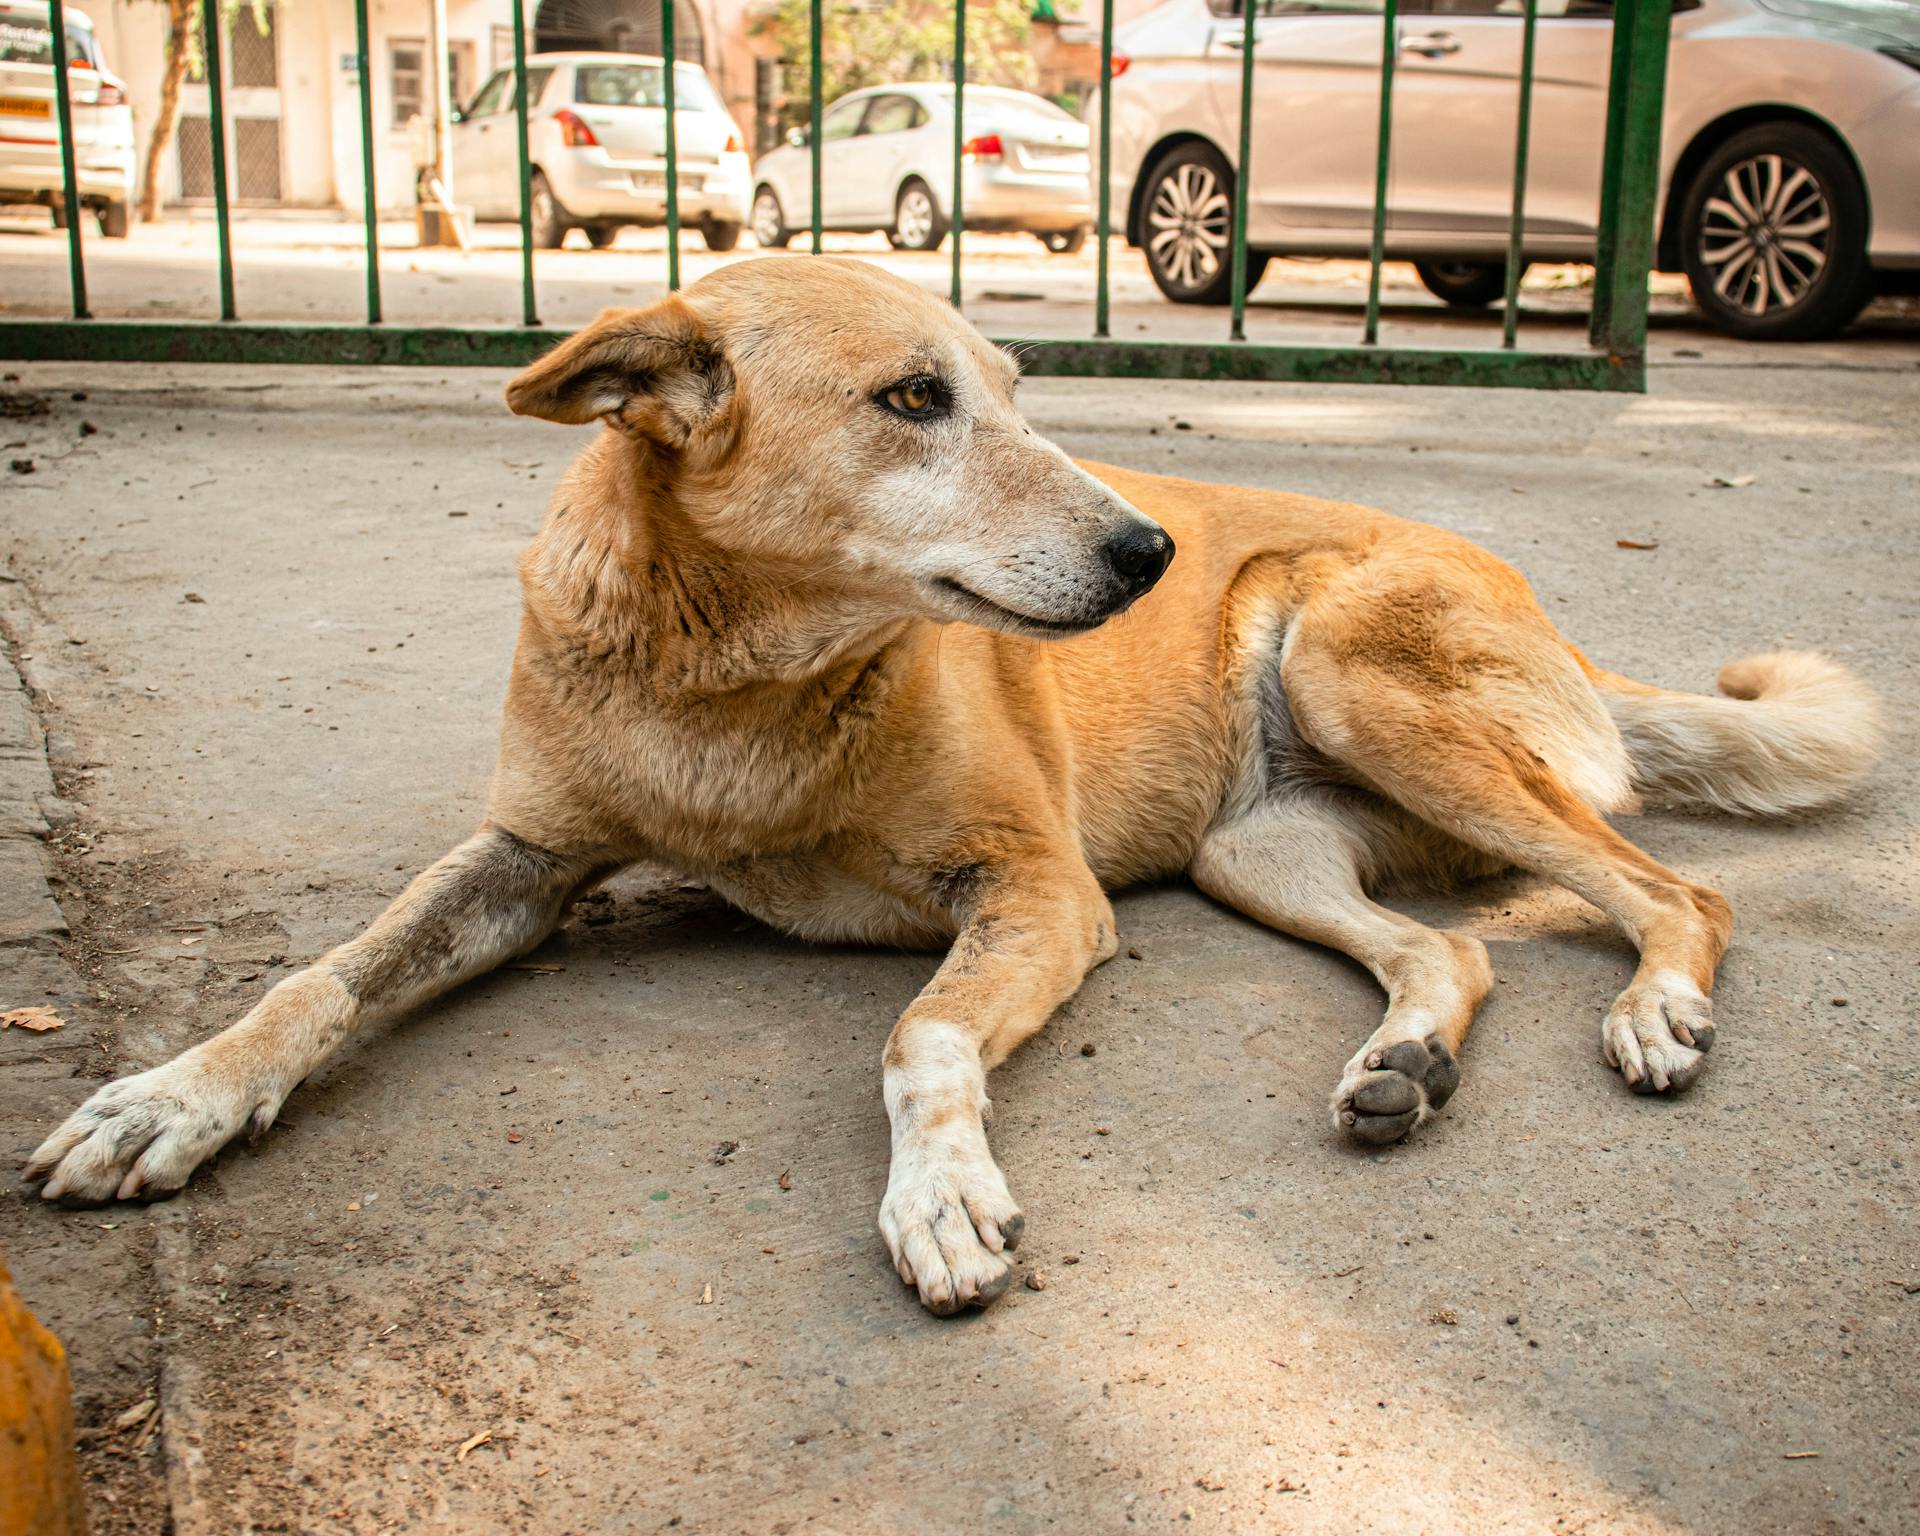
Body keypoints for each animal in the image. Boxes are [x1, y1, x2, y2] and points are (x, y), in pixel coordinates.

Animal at [26, 257, 1873, 1313]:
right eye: (914, 399)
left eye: (1012, 393)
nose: (1151, 554)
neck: (736, 681)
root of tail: (1568, 636)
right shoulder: (521, 857)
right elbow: (322, 979)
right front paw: (169, 1097)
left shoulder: (1036, 891)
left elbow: (917, 1035)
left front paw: (944, 1198)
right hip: (1260, 854)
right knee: (1460, 948)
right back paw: (1404, 1059)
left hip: (1364, 683)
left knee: (1674, 886)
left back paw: (1657, 1007)